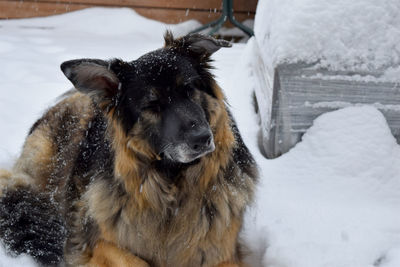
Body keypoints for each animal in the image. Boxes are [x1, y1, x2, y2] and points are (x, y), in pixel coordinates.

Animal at [0, 31, 256, 267]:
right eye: (152, 105)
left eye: (190, 89)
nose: (202, 139)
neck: (172, 186)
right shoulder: (98, 243)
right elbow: (135, 261)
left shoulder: (224, 254)